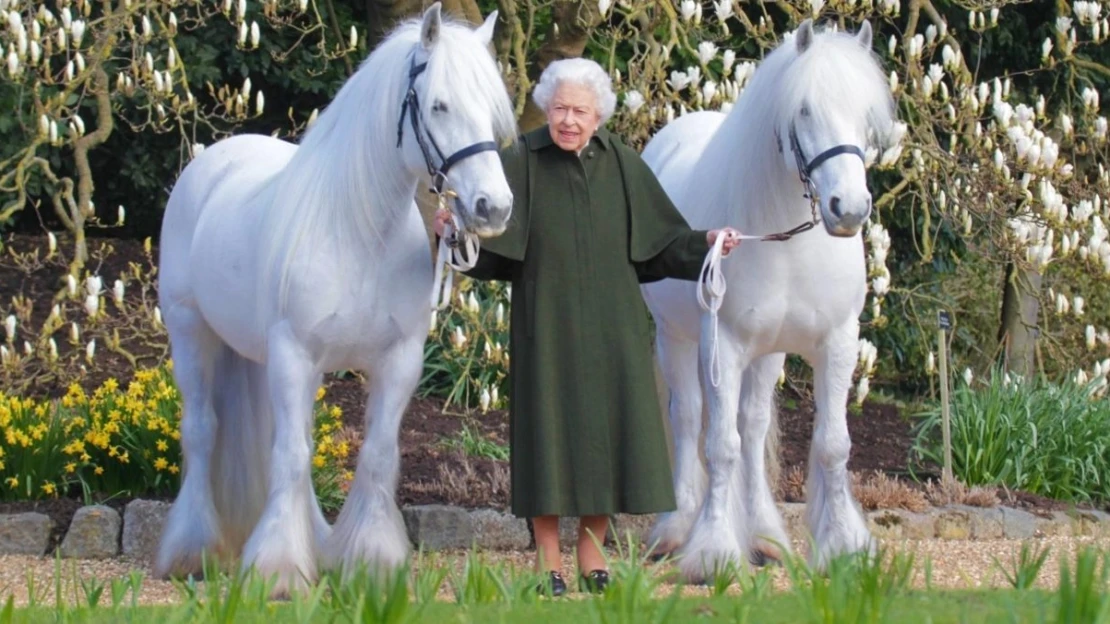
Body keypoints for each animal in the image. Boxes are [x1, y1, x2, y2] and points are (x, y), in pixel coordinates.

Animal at [152, 6, 515, 599]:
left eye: (490, 109)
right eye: (439, 104)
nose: (494, 207)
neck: (359, 233)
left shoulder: (398, 361)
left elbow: (375, 455)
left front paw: (371, 563)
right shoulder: (295, 354)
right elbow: (292, 456)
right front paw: (277, 571)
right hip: (191, 334)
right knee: (203, 431)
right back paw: (192, 550)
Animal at [643, 18, 892, 577]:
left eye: (865, 114)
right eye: (804, 110)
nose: (849, 208)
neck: (786, 239)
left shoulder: (837, 343)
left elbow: (831, 445)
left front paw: (844, 545)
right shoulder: (725, 345)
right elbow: (720, 445)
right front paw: (713, 551)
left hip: (768, 353)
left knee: (753, 427)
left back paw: (763, 536)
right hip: (677, 339)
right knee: (689, 418)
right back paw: (677, 528)